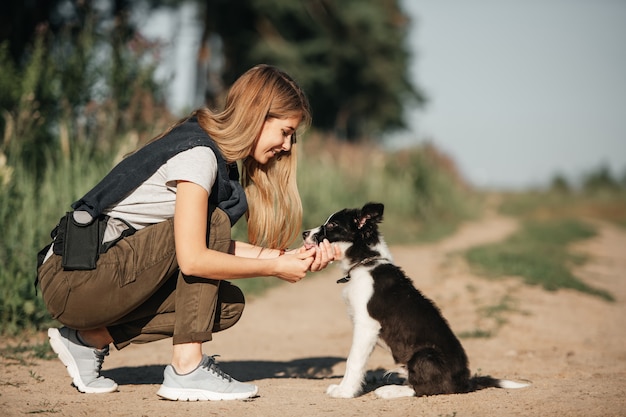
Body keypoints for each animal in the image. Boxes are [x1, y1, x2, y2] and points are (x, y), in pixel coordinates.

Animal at [302, 203, 528, 398]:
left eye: (332, 225)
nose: (304, 233)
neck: (365, 262)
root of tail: (465, 382)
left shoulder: (366, 324)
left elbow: (353, 361)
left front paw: (345, 392)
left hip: (424, 355)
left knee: (426, 389)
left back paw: (390, 390)